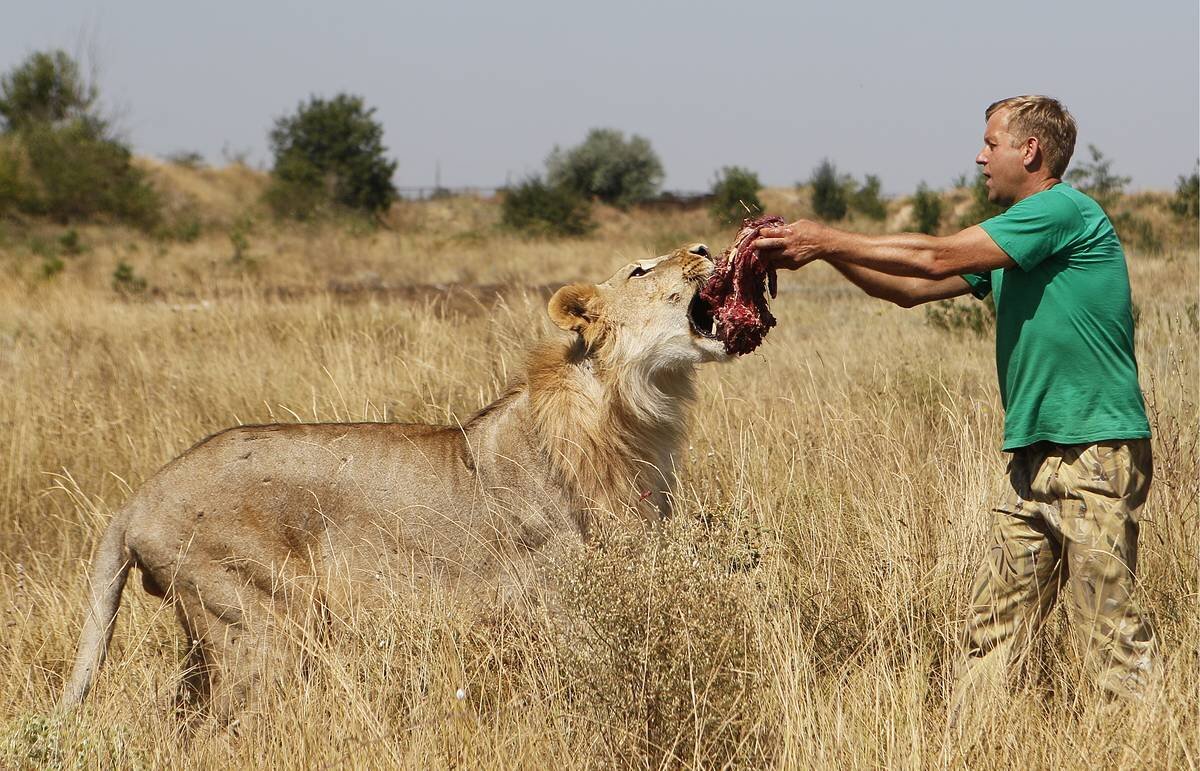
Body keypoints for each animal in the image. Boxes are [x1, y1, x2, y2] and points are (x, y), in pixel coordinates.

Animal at [63, 240, 729, 715]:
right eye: (639, 269)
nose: (703, 246)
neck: (634, 409)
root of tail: (139, 497)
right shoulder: (557, 592)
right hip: (261, 623)